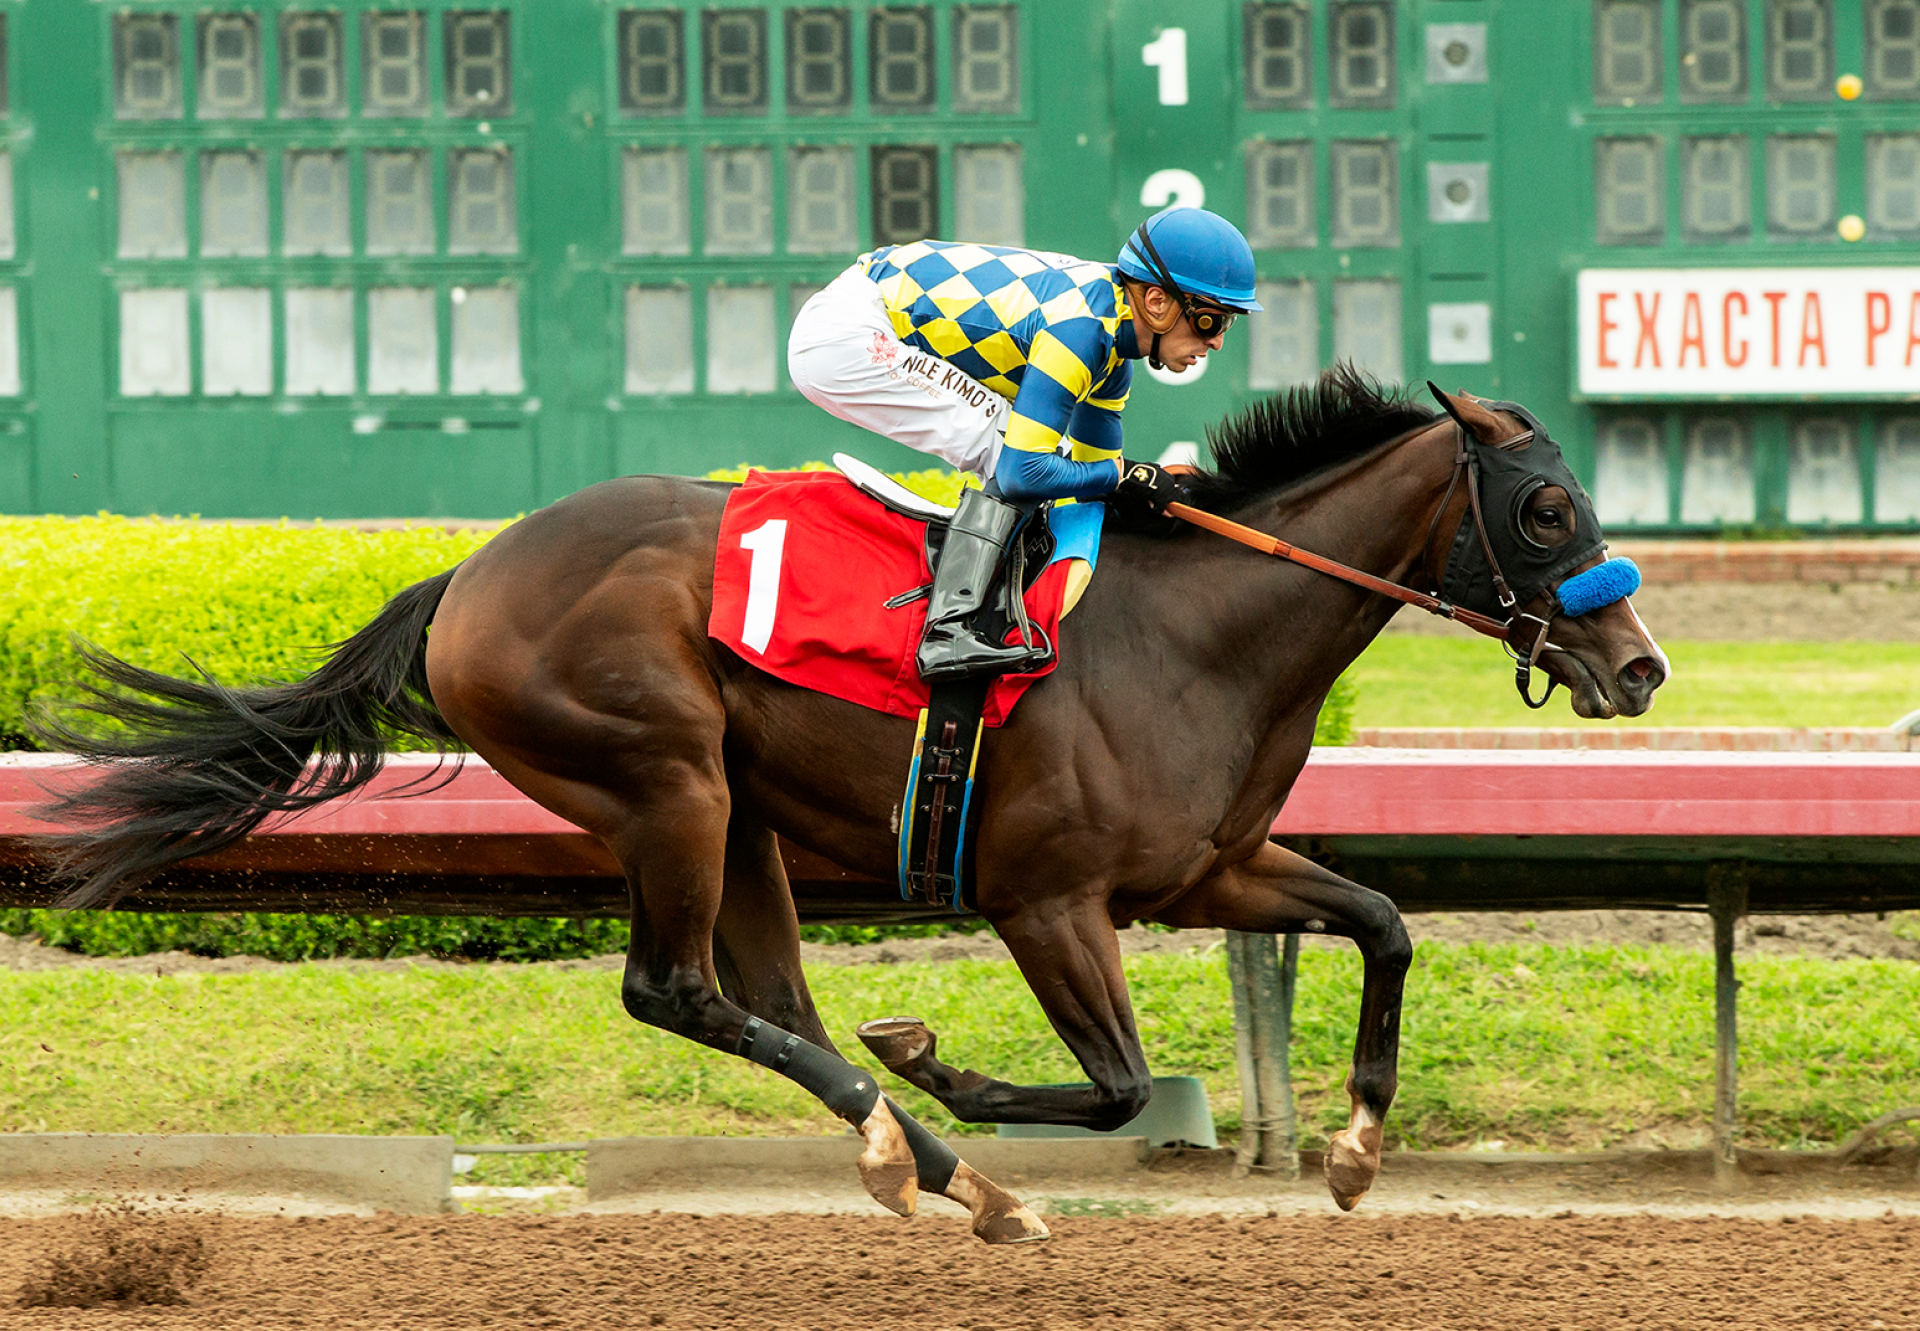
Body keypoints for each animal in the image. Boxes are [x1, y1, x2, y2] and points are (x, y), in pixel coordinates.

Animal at [41, 368, 1666, 1244]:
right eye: (1545, 508)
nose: (1641, 664)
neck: (1197, 631)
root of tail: (468, 574)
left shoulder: (1207, 870)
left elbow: (1384, 920)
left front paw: (1355, 1150)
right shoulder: (1044, 898)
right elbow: (1122, 1085)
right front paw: (939, 1056)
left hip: (738, 811)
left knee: (762, 999)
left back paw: (950, 1176)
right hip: (668, 780)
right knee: (674, 989)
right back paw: (928, 1147)